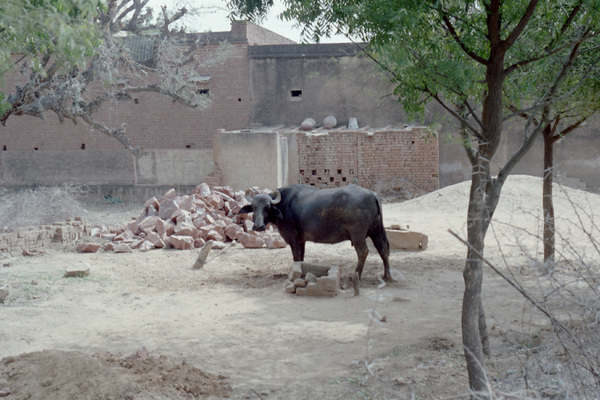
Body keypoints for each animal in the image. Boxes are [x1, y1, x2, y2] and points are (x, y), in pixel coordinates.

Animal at [239, 184, 394, 282]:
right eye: (253, 207)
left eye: (267, 207)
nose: (258, 226)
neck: (284, 205)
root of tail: (371, 194)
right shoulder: (301, 239)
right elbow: (301, 256)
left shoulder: (292, 237)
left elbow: (296, 256)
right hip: (376, 231)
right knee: (383, 249)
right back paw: (387, 275)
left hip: (358, 234)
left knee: (363, 251)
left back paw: (356, 275)